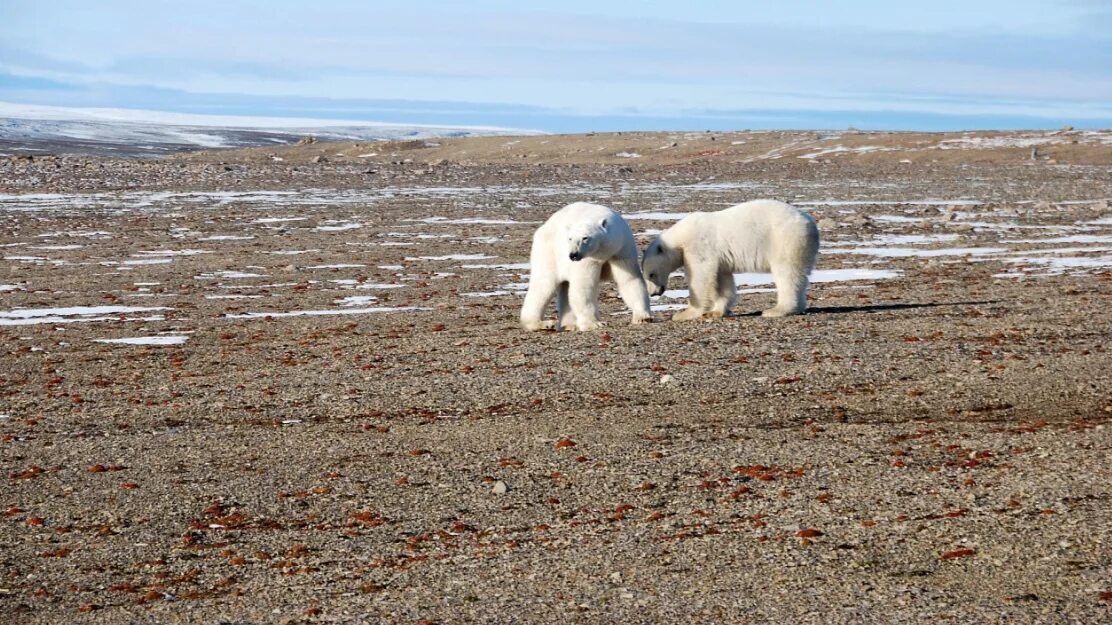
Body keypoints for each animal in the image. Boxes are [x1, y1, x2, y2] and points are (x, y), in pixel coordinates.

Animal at [518, 203, 649, 331]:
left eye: (585, 237)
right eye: (570, 238)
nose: (573, 255)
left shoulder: (621, 250)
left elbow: (629, 280)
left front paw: (643, 317)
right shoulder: (588, 259)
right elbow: (584, 286)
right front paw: (594, 323)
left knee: (565, 288)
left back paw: (569, 325)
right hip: (549, 254)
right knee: (544, 285)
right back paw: (542, 323)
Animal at [644, 199, 818, 318]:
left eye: (651, 274)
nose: (654, 293)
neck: (681, 236)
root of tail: (810, 223)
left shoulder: (699, 246)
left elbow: (700, 276)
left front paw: (685, 314)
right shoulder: (720, 259)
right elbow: (722, 280)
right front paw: (716, 311)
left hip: (784, 239)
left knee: (786, 273)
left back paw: (777, 310)